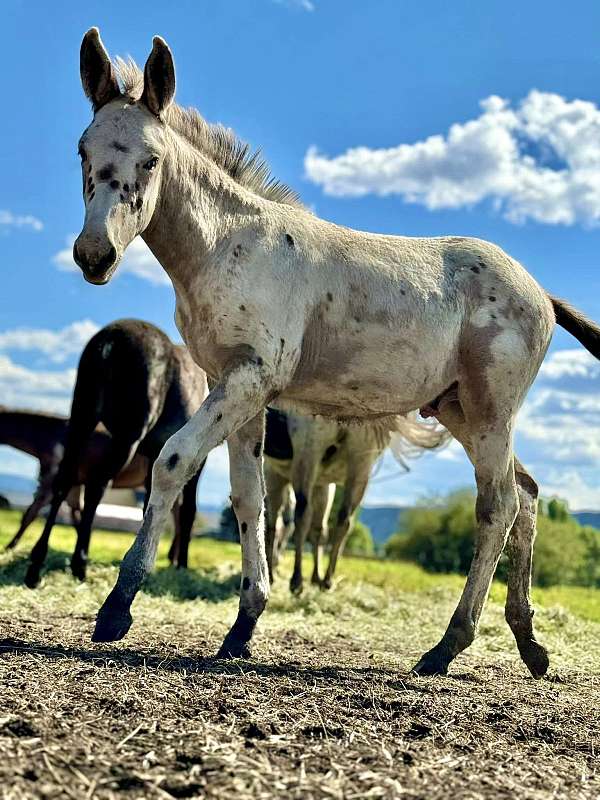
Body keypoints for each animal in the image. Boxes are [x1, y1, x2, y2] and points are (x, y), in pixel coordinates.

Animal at [24, 318, 209, 588]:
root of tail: (109, 342)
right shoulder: (195, 458)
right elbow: (187, 511)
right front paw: (181, 567)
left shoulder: (156, 456)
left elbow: (151, 504)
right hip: (126, 437)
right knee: (96, 488)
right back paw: (79, 563)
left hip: (81, 420)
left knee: (64, 482)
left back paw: (37, 565)